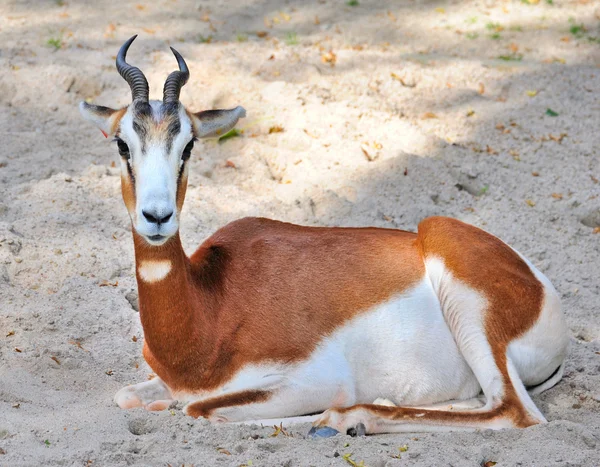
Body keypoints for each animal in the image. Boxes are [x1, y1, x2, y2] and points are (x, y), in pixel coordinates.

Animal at [78, 35, 568, 436]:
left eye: (189, 145)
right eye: (122, 144)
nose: (157, 217)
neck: (209, 311)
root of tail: (543, 290)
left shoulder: (317, 380)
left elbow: (200, 410)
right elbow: (130, 395)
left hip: (460, 286)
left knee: (515, 412)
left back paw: (354, 419)